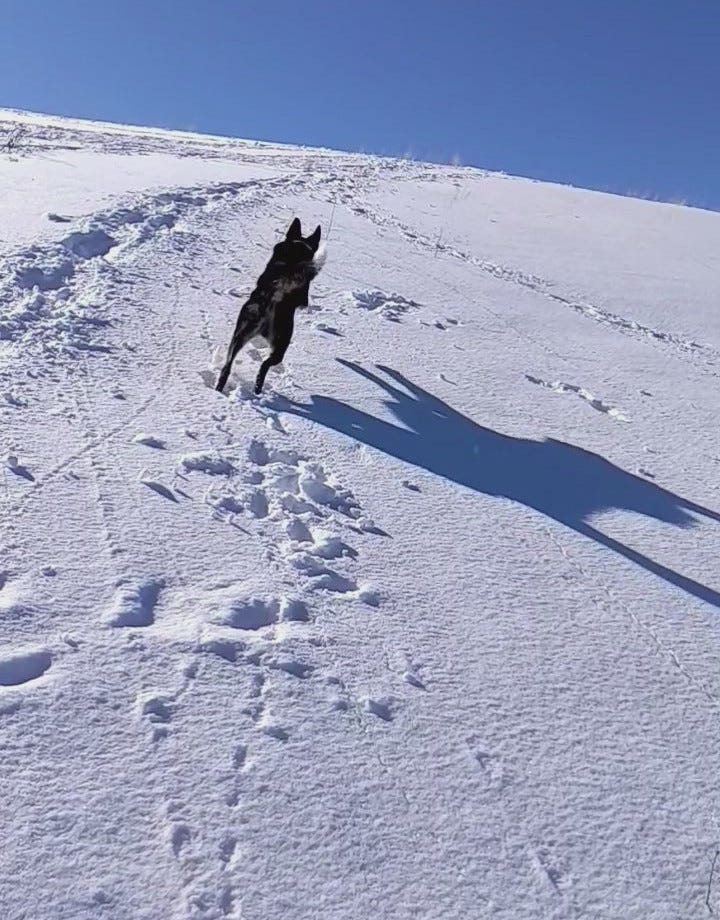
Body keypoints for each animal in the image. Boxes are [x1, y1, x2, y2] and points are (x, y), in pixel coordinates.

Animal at [215, 220, 324, 398]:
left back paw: (220, 387)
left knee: (227, 365)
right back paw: (258, 387)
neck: (297, 247)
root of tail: (272, 301)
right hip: (282, 342)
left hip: (241, 331)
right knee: (265, 365)